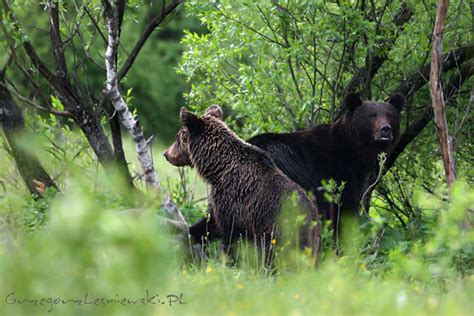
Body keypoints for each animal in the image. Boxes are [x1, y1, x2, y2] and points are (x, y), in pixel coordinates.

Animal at [164, 105, 322, 262]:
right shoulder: (221, 202)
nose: (166, 153)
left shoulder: (234, 201)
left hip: (281, 231)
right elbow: (210, 223)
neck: (217, 169)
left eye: (178, 137)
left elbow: (230, 236)